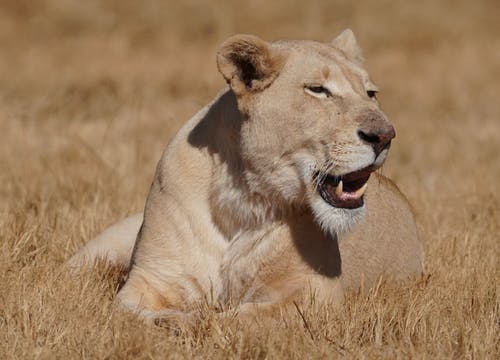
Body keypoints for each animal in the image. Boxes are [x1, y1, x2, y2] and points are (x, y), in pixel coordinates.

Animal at [69, 29, 422, 320]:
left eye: (370, 93)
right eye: (318, 90)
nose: (385, 136)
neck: (241, 199)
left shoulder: (319, 290)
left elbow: (246, 318)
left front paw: (200, 322)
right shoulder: (152, 278)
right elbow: (136, 314)